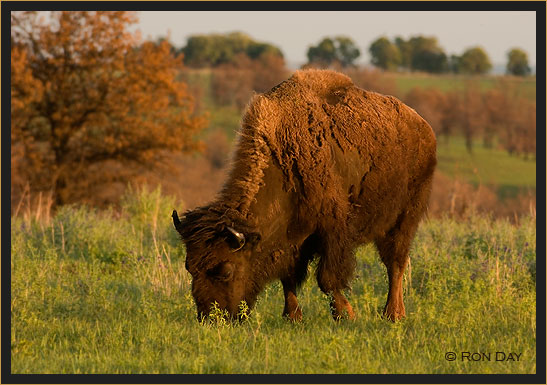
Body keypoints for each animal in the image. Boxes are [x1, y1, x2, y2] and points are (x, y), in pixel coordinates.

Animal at [173, 69, 438, 320]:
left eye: (226, 270)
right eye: (189, 267)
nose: (211, 318)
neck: (284, 160)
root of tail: (424, 129)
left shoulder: (333, 231)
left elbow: (327, 278)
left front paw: (345, 314)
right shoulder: (291, 238)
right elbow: (288, 277)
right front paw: (293, 316)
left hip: (404, 218)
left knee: (395, 264)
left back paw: (393, 314)